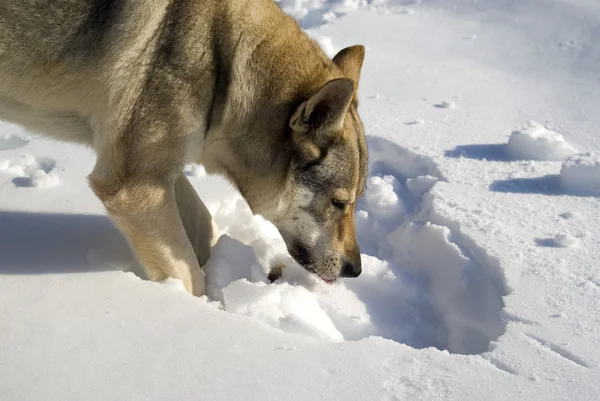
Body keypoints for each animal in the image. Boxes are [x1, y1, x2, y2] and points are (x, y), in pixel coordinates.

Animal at [0, 0, 368, 296]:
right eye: (339, 203)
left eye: (355, 202)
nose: (356, 270)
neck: (224, 68)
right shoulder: (133, 187)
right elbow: (189, 276)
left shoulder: (162, 168)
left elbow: (206, 226)